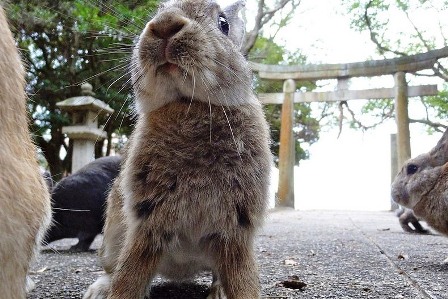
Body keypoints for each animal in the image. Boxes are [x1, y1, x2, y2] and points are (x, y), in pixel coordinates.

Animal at [84, 0, 272, 299]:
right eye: (156, 12)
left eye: (223, 23)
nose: (164, 26)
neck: (189, 104)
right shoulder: (148, 222)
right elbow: (129, 278)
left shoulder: (236, 228)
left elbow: (242, 281)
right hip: (112, 236)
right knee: (112, 268)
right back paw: (99, 290)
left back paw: (218, 292)